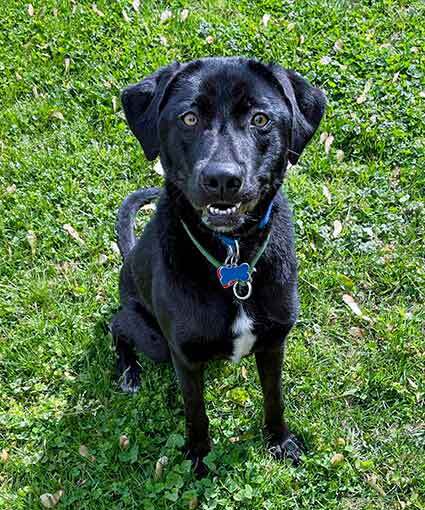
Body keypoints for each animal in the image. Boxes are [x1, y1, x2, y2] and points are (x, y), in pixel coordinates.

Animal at [110, 57, 324, 476]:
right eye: (189, 118)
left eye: (260, 119)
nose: (222, 179)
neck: (233, 256)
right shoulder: (184, 356)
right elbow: (196, 412)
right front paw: (197, 456)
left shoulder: (274, 342)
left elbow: (274, 397)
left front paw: (279, 440)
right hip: (154, 341)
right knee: (116, 324)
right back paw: (128, 371)